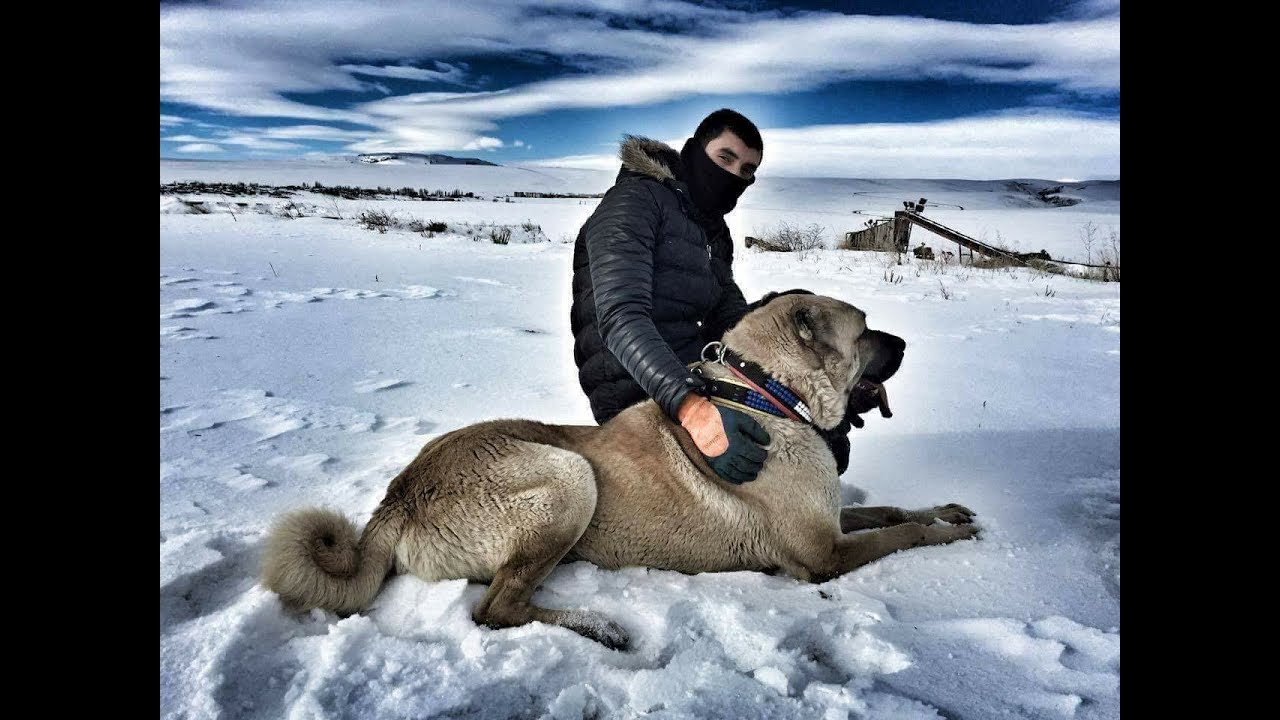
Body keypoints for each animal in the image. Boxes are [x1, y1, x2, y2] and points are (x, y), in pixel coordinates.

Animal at [262, 292, 977, 645]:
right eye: (865, 329)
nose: (906, 342)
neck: (764, 394)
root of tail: (397, 498)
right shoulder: (822, 554)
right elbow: (899, 533)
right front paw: (953, 533)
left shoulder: (829, 520)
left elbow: (889, 510)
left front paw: (947, 509)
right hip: (568, 477)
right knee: (496, 609)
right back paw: (601, 627)